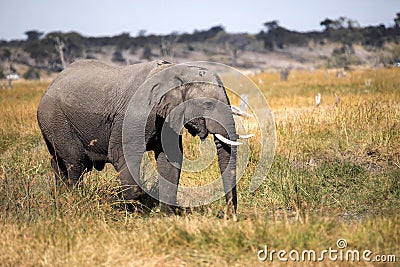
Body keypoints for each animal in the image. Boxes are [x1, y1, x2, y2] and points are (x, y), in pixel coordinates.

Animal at [37, 59, 245, 216]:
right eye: (208, 105)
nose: (223, 214)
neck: (174, 70)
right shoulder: (133, 116)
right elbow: (123, 156)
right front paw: (125, 211)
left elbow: (171, 160)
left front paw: (166, 216)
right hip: (55, 118)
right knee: (75, 162)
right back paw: (74, 199)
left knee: (58, 161)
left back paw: (60, 198)